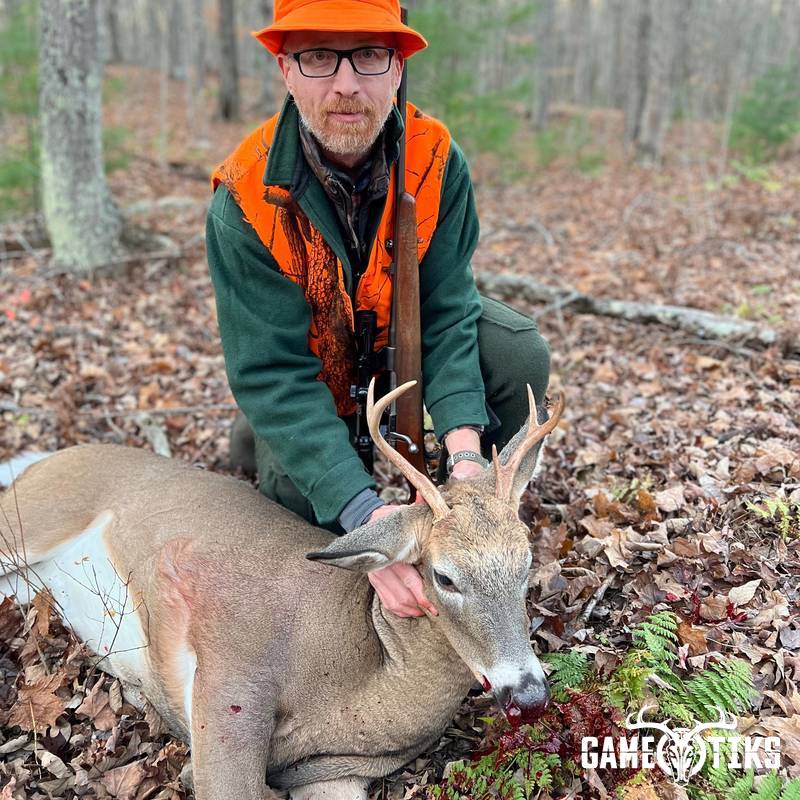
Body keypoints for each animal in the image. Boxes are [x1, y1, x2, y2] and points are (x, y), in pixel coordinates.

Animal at [0, 379, 564, 800]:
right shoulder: (232, 670)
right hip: (30, 520)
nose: (529, 693)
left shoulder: (341, 771)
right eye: (444, 576)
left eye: (526, 562)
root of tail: (43, 459)